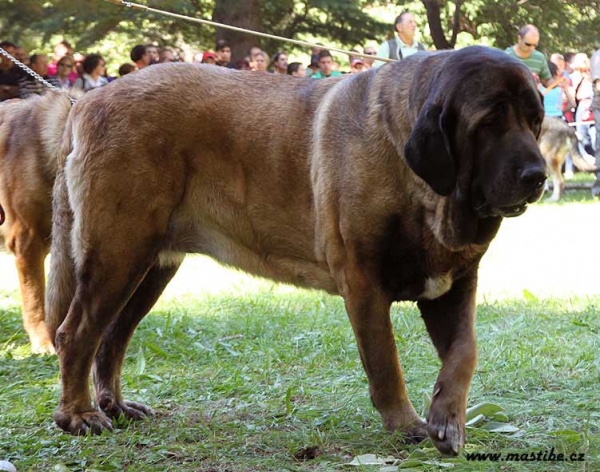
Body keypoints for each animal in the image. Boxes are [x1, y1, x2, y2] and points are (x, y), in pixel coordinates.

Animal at [44, 47, 548, 454]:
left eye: (535, 120)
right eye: (489, 122)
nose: (538, 175)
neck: (425, 189)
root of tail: (86, 102)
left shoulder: (454, 286)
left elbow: (465, 353)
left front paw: (448, 420)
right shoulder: (364, 283)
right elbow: (385, 363)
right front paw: (407, 424)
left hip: (149, 267)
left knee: (111, 338)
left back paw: (115, 405)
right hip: (117, 255)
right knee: (78, 334)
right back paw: (79, 416)